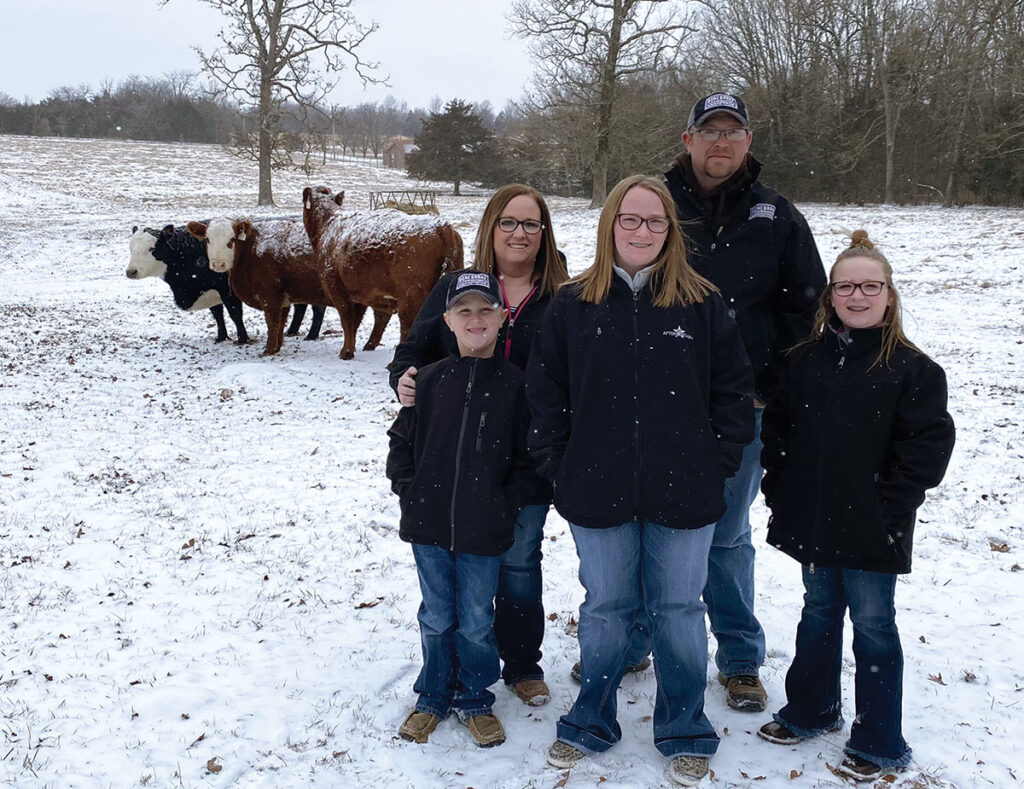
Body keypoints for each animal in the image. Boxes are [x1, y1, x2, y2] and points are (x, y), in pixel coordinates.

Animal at [186, 212, 389, 354]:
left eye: (232, 240)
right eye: (208, 239)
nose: (218, 263)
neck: (252, 249)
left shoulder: (270, 295)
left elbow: (272, 322)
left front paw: (268, 350)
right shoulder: (282, 298)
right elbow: (281, 322)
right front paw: (277, 347)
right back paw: (369, 345)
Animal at [301, 186, 466, 360]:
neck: (329, 223)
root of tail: (441, 225)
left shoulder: (337, 288)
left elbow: (348, 320)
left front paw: (346, 351)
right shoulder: (369, 294)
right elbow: (369, 320)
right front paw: (366, 345)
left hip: (411, 297)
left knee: (408, 324)